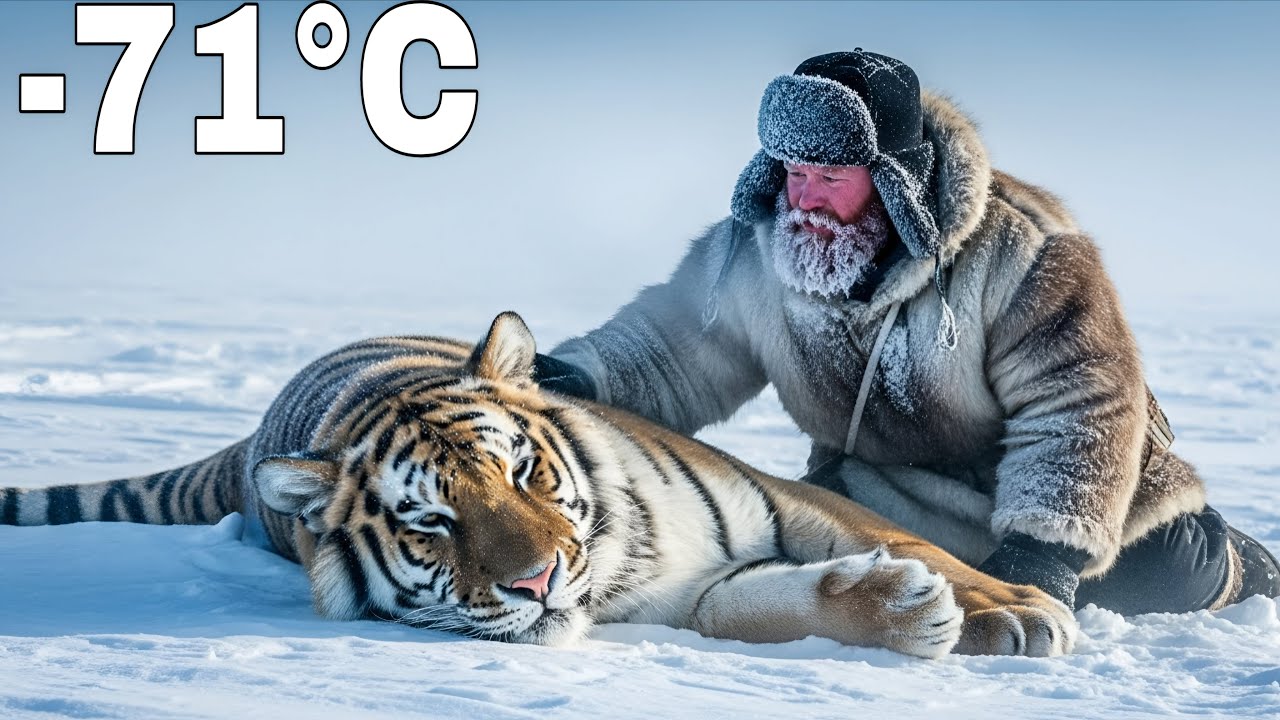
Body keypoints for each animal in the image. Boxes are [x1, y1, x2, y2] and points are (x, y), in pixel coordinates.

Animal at [1, 311, 1077, 658]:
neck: (627, 566)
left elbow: (914, 542)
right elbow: (749, 608)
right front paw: (905, 612)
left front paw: (1016, 609)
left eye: (520, 469)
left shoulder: (777, 494)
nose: (539, 583)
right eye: (430, 523)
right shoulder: (688, 597)